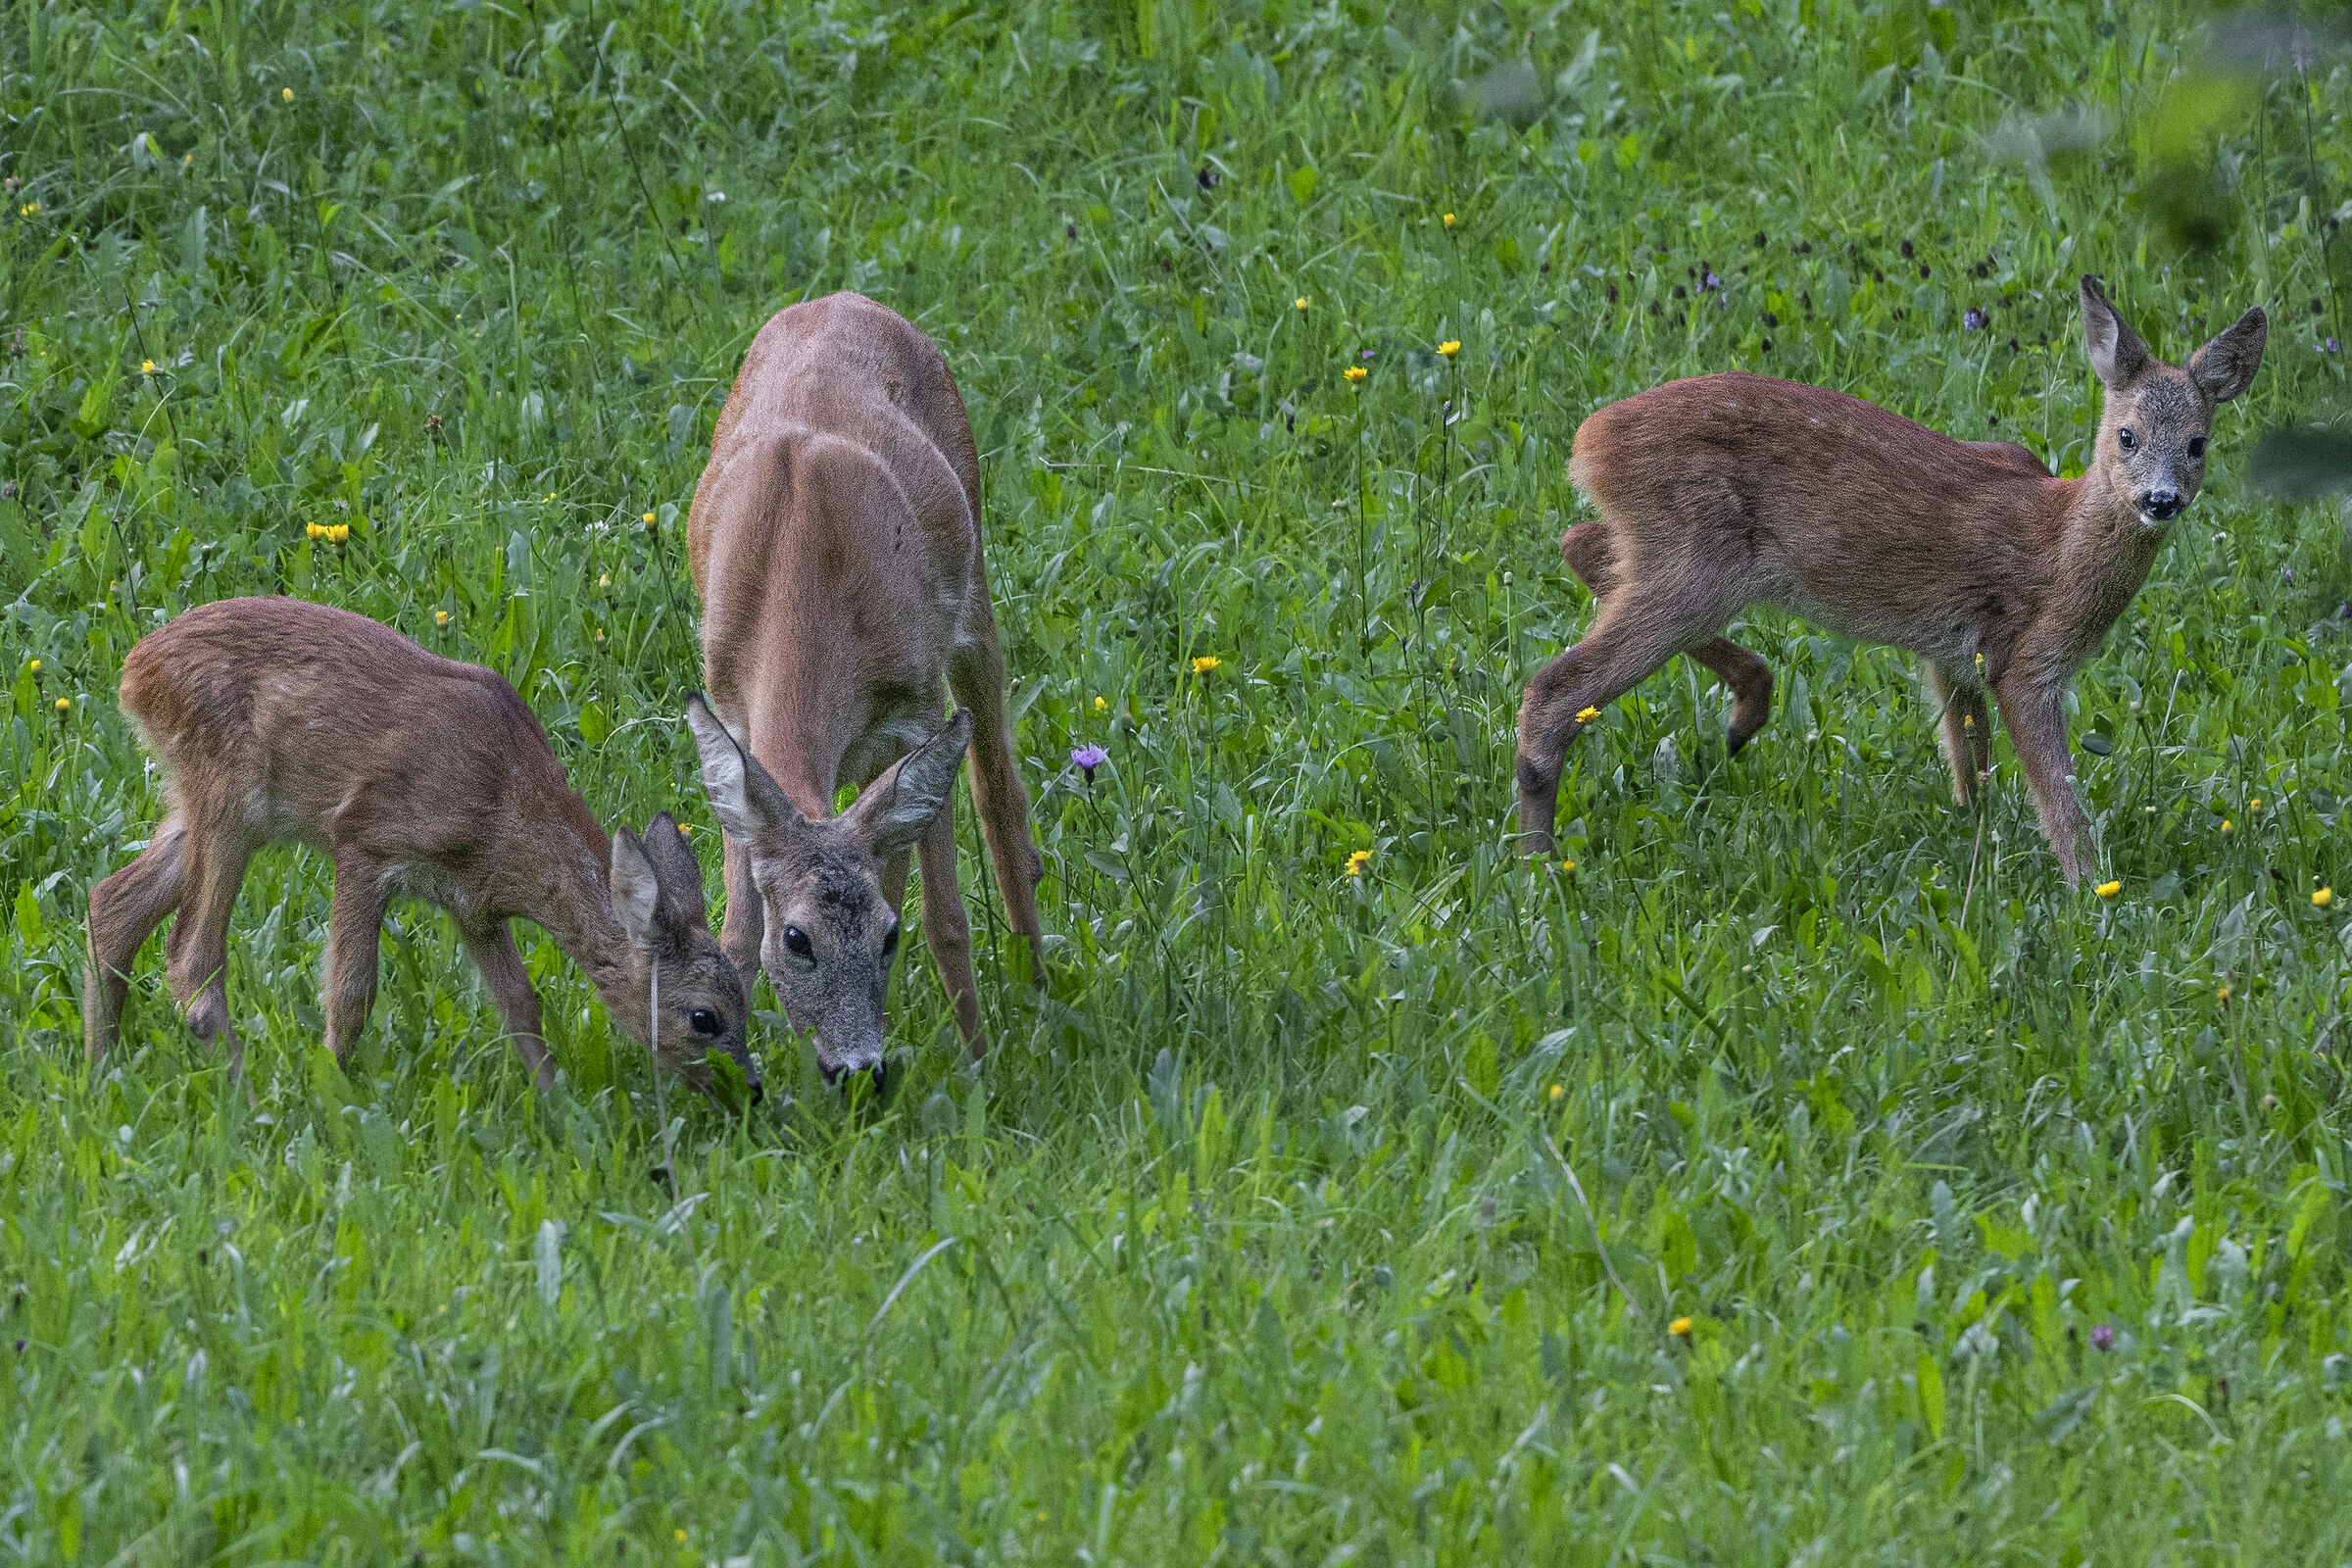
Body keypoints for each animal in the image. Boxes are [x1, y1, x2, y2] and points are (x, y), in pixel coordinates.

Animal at [83, 595, 756, 1098]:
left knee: (111, 902)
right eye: (705, 1017)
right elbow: (352, 992)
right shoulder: (364, 839)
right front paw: (333, 1092)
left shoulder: (472, 903)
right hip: (228, 795)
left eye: (746, 1001)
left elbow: (520, 1004)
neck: (503, 808)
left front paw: (557, 1106)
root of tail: (135, 669)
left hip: (200, 805)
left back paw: (99, 1072)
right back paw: (245, 1098)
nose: (748, 1091)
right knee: (190, 953)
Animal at [683, 291, 1045, 1090]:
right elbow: (733, 934)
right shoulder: (732, 714)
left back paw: (1040, 990)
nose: (858, 1072)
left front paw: (981, 1070)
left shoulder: (918, 709)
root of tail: (845, 298)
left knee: (999, 795)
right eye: (796, 939)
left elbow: (946, 921)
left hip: (973, 594)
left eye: (886, 938)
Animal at [1517, 275, 2267, 888]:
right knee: (1553, 686)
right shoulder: (2028, 657)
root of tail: (1589, 443)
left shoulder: (1954, 652)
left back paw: (1744, 711)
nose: (2160, 500)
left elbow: (1971, 762)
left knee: (1579, 542)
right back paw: (1539, 867)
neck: (2059, 542)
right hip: (1696, 560)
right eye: (2127, 436)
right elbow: (2057, 792)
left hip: (1679, 555)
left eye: (2198, 443)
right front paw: (2090, 893)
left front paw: (1978, 837)